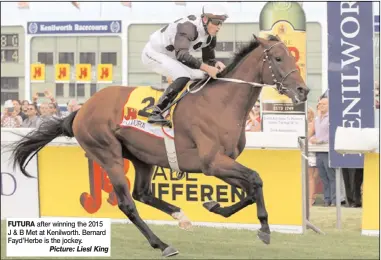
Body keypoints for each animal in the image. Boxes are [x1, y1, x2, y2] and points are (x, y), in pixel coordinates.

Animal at [8, 34, 308, 256]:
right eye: (278, 58)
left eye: (293, 56)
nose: (303, 90)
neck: (221, 104)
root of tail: (81, 110)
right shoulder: (212, 162)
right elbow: (255, 180)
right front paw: (265, 228)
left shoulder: (223, 163)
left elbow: (248, 190)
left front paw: (215, 206)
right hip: (107, 153)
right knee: (128, 203)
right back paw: (162, 244)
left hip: (143, 157)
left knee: (142, 193)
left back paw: (180, 216)